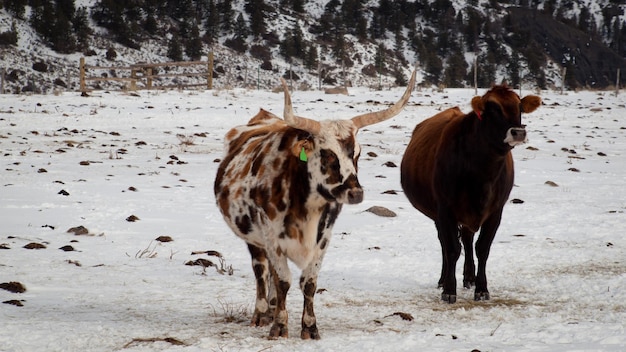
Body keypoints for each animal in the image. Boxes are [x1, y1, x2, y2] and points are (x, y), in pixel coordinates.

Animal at [213, 71, 414, 338]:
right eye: (327, 154)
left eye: (357, 154)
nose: (355, 193)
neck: (304, 205)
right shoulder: (271, 236)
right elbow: (283, 280)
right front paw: (279, 326)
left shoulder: (323, 237)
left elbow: (308, 283)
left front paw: (309, 327)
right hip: (253, 238)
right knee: (261, 271)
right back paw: (262, 313)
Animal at [400, 84, 540, 302]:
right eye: (492, 109)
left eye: (519, 107)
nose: (518, 132)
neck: (482, 173)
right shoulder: (445, 209)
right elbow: (451, 249)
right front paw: (449, 290)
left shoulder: (495, 211)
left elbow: (482, 248)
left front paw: (481, 288)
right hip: (440, 214)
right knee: (446, 243)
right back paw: (443, 280)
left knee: (467, 239)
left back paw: (469, 277)